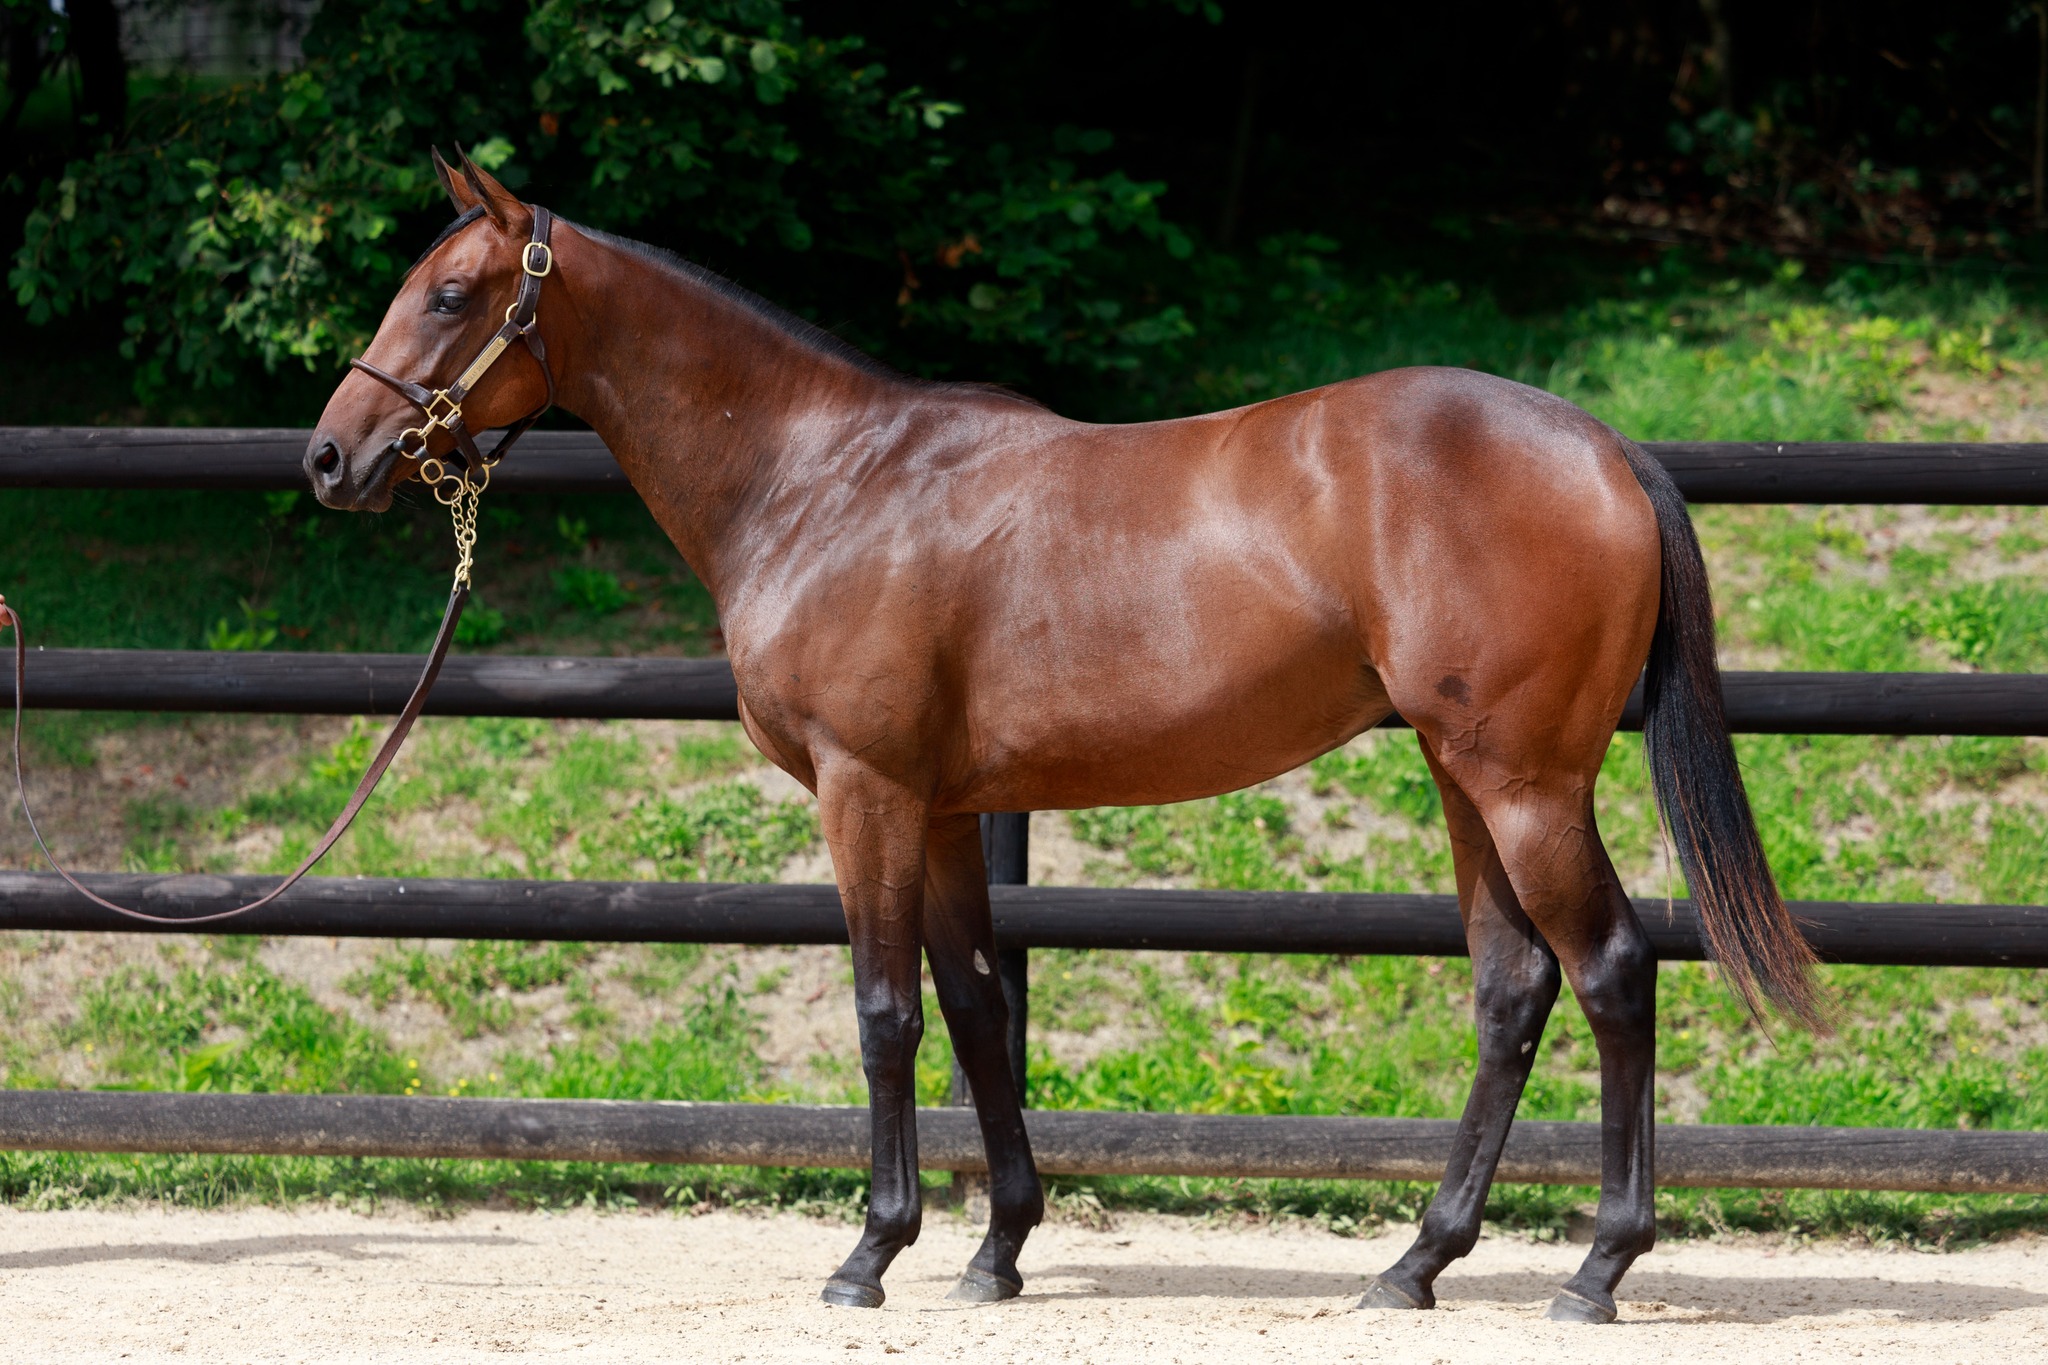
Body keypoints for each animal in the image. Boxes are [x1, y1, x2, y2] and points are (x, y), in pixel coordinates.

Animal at [307, 154, 1826, 1326]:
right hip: (1464, 780)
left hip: (1524, 786)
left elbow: (882, 1013)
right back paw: (1414, 1266)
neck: (824, 481)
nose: (332, 458)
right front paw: (994, 1253)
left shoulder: (866, 794)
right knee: (1512, 990)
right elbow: (978, 1008)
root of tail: (1600, 444)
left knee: (1613, 971)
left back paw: (1596, 1270)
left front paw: (869, 1253)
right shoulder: (937, 809)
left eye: (450, 294)